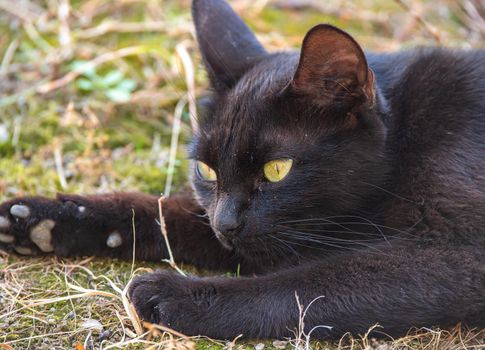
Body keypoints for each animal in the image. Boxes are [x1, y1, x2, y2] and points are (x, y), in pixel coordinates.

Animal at [0, 0, 484, 340]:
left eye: (277, 170)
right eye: (207, 170)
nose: (226, 223)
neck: (406, 136)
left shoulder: (456, 251)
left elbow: (304, 287)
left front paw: (174, 294)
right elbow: (163, 211)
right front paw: (45, 217)